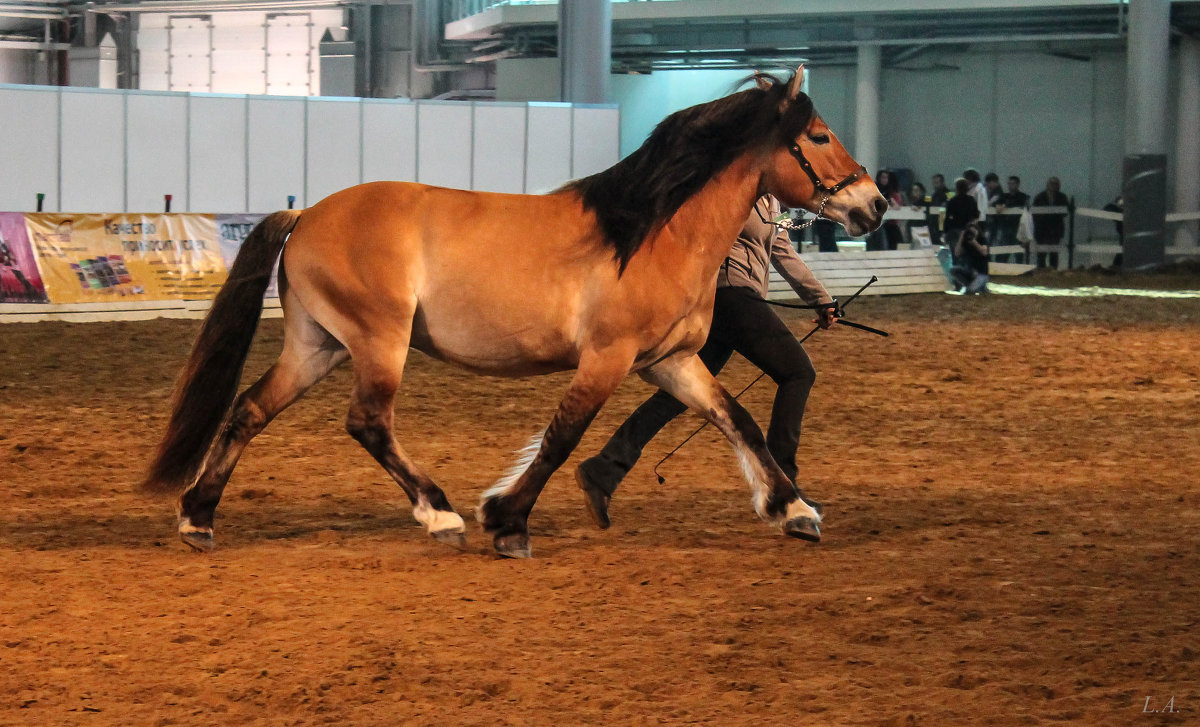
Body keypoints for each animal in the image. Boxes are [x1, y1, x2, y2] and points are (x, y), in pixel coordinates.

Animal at [145, 68, 888, 559]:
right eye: (820, 135)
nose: (875, 206)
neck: (649, 232)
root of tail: (305, 217)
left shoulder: (672, 362)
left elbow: (735, 419)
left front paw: (794, 509)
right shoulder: (607, 359)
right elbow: (561, 438)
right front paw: (505, 520)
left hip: (318, 345)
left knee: (249, 409)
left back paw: (198, 518)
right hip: (377, 342)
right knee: (368, 422)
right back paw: (440, 515)